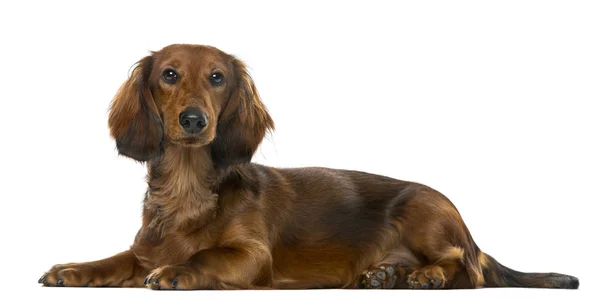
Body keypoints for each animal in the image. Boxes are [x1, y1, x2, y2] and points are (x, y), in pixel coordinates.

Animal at [37, 44, 576, 290]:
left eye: (217, 77)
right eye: (168, 75)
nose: (194, 120)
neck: (189, 191)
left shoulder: (252, 256)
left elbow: (204, 256)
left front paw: (176, 272)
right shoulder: (143, 250)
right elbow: (112, 261)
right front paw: (70, 270)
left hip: (421, 211)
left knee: (468, 268)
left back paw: (425, 277)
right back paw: (385, 275)